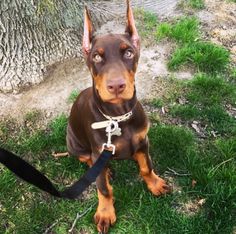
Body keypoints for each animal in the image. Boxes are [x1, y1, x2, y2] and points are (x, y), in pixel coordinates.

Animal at [66, 0, 170, 233]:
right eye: (96, 56)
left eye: (129, 53)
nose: (116, 86)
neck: (118, 117)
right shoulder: (99, 149)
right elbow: (104, 189)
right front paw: (105, 213)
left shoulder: (143, 140)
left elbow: (146, 166)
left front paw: (155, 183)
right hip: (74, 144)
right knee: (88, 160)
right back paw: (104, 171)